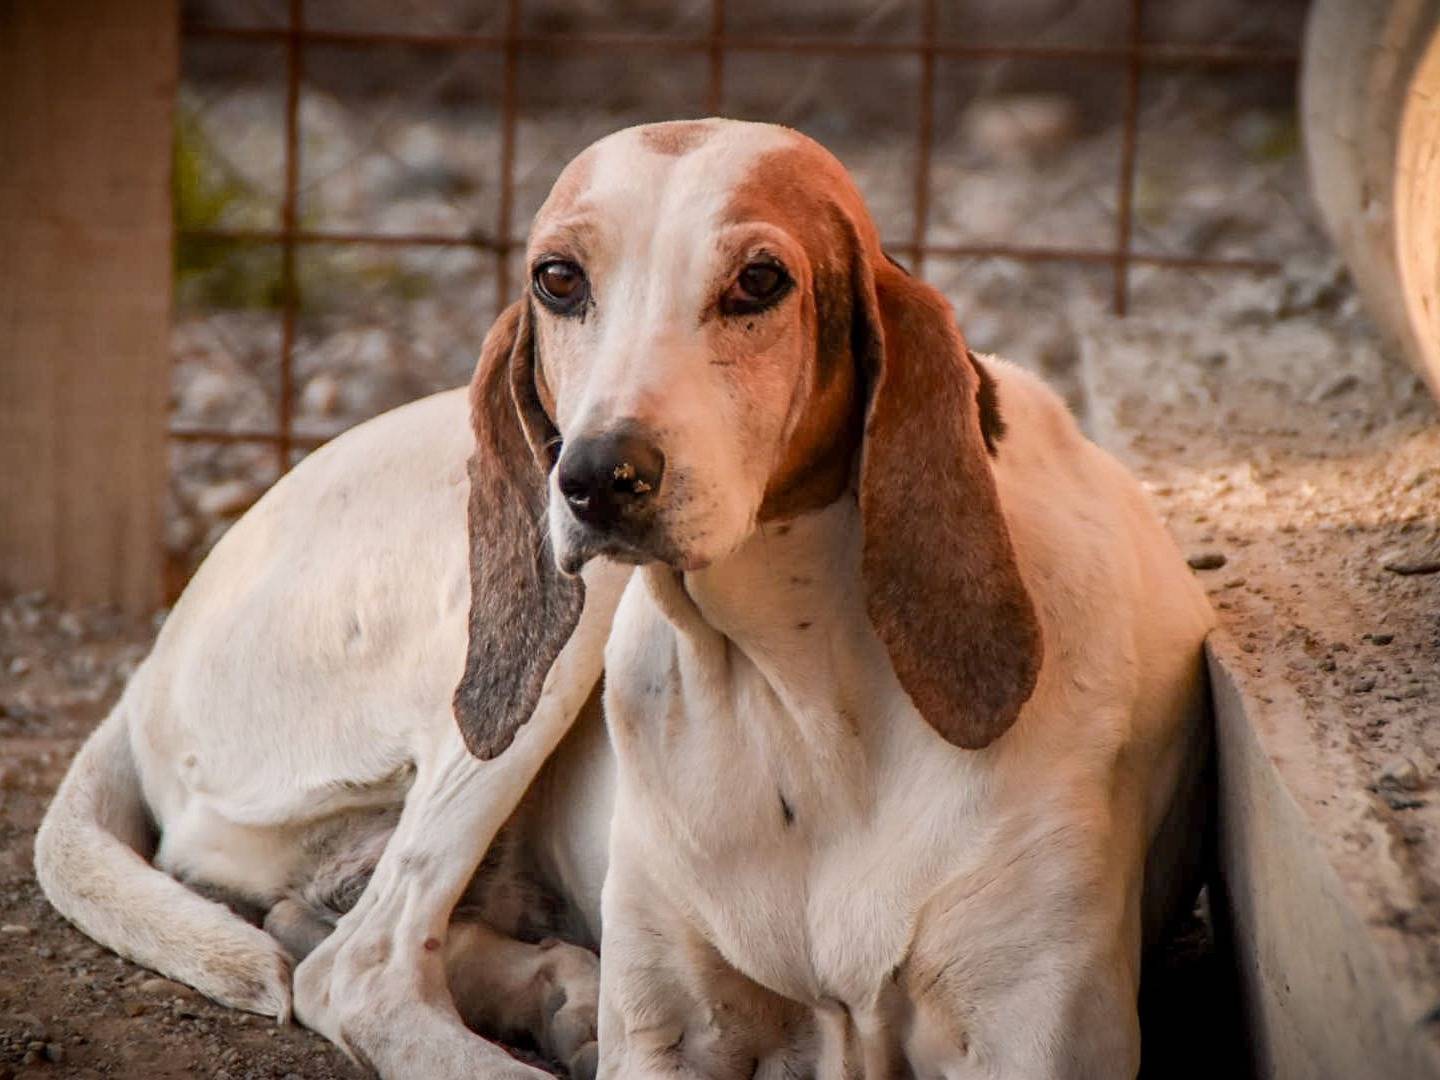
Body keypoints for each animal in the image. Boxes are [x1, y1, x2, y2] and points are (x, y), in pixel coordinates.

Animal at [36, 120, 1215, 1080]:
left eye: (759, 282)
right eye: (559, 278)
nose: (597, 476)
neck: (808, 699)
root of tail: (154, 661)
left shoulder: (1035, 1034)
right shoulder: (673, 1029)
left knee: (337, 938)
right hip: (563, 634)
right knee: (357, 966)